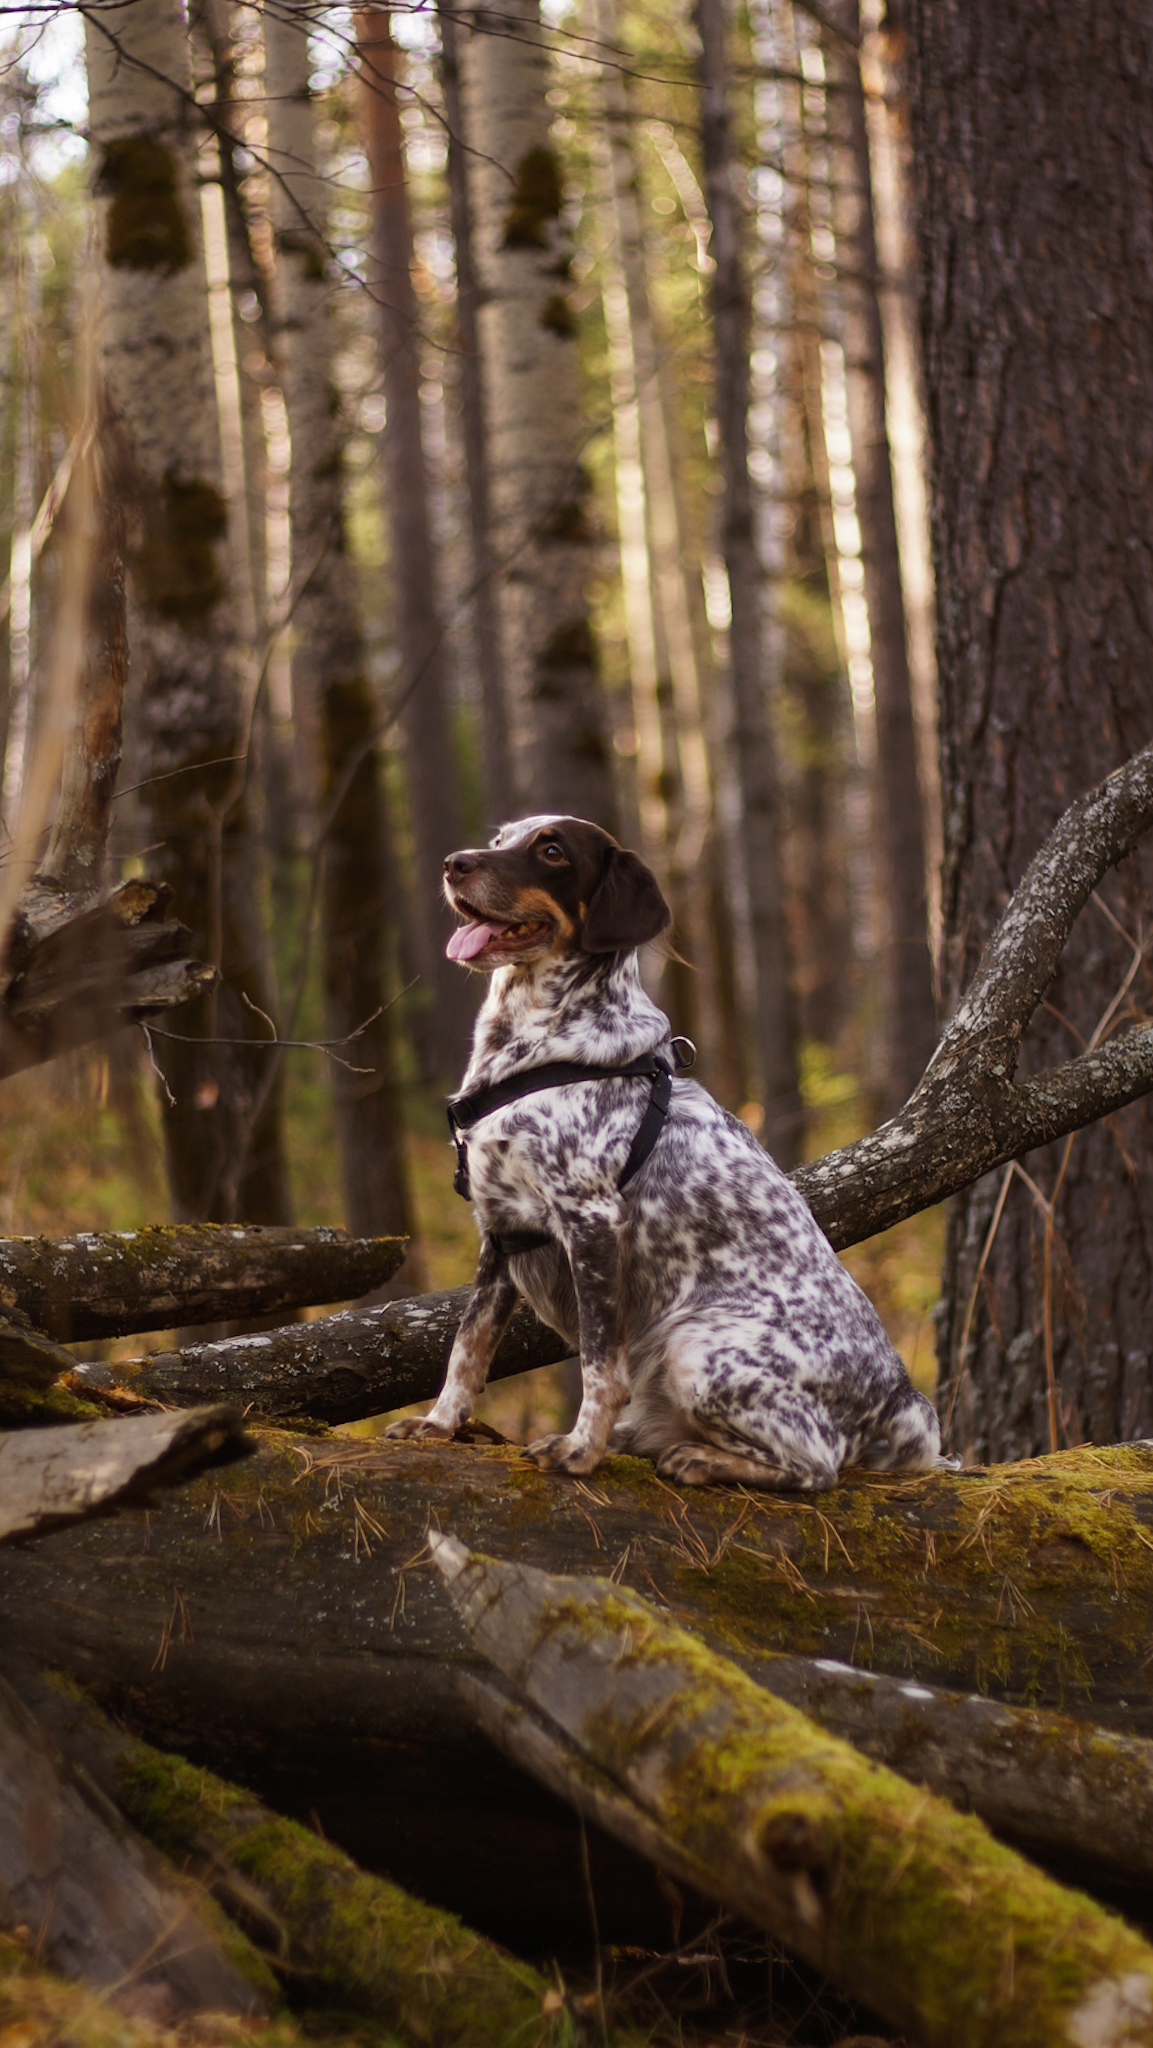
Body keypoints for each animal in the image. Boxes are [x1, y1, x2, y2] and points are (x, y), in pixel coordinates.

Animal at [393, 811, 950, 1490]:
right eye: (500, 840)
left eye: (551, 851)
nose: (455, 864)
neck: (536, 1050)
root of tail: (901, 1398)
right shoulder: (500, 1229)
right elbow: (467, 1347)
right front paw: (440, 1424)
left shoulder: (592, 1220)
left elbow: (600, 1365)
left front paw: (581, 1450)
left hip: (695, 1349)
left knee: (817, 1466)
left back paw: (697, 1457)